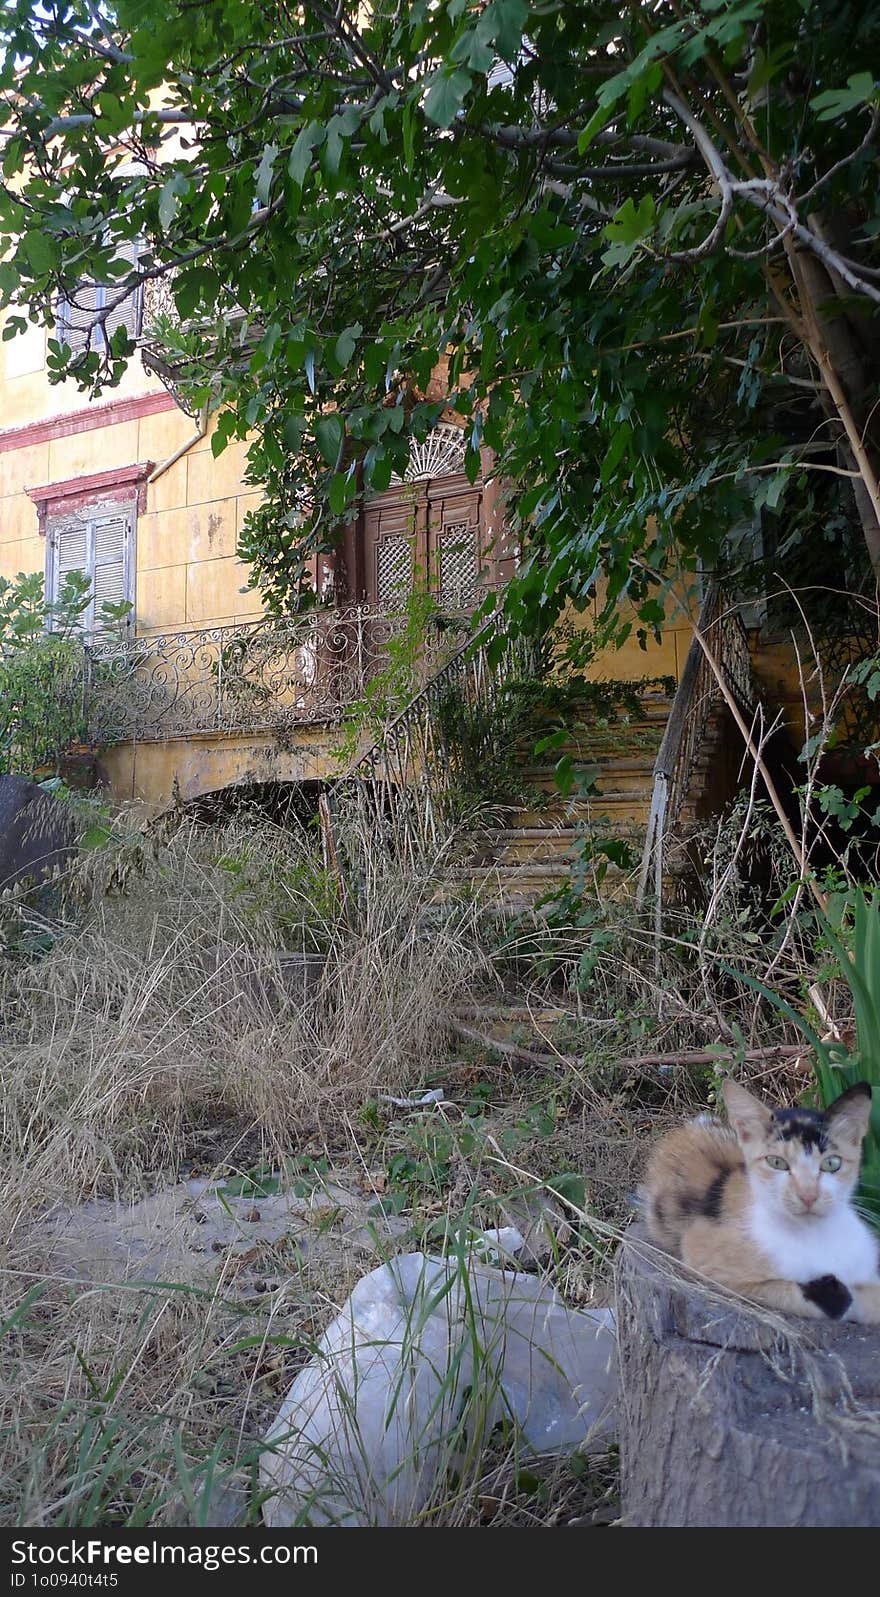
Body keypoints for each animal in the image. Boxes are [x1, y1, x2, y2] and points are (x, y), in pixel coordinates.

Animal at [642, 1085, 880, 1322]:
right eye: (776, 1162)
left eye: (832, 1163)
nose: (808, 1195)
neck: (814, 1234)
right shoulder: (704, 1255)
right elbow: (811, 1297)